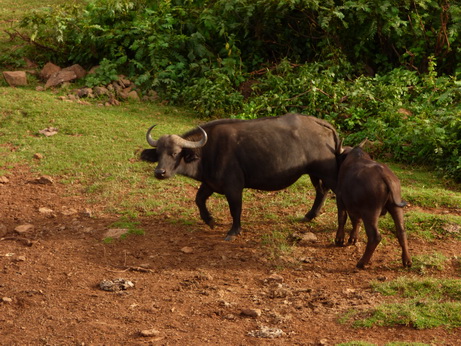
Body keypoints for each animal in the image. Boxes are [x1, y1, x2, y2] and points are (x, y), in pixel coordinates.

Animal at [142, 113, 340, 241]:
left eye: (175, 153)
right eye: (158, 153)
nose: (160, 172)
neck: (208, 151)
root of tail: (321, 123)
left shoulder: (234, 187)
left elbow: (235, 209)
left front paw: (233, 231)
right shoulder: (211, 183)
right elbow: (199, 199)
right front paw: (210, 220)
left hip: (328, 172)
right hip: (314, 173)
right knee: (321, 191)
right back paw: (309, 216)